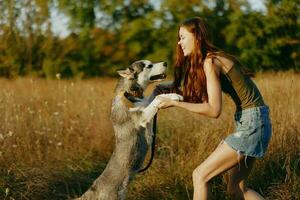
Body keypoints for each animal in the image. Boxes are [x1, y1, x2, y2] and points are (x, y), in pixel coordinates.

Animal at [75, 60, 183, 200]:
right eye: (149, 66)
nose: (165, 62)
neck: (130, 93)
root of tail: (94, 188)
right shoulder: (142, 117)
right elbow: (157, 99)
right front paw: (174, 95)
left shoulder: (145, 105)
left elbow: (155, 91)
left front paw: (170, 85)